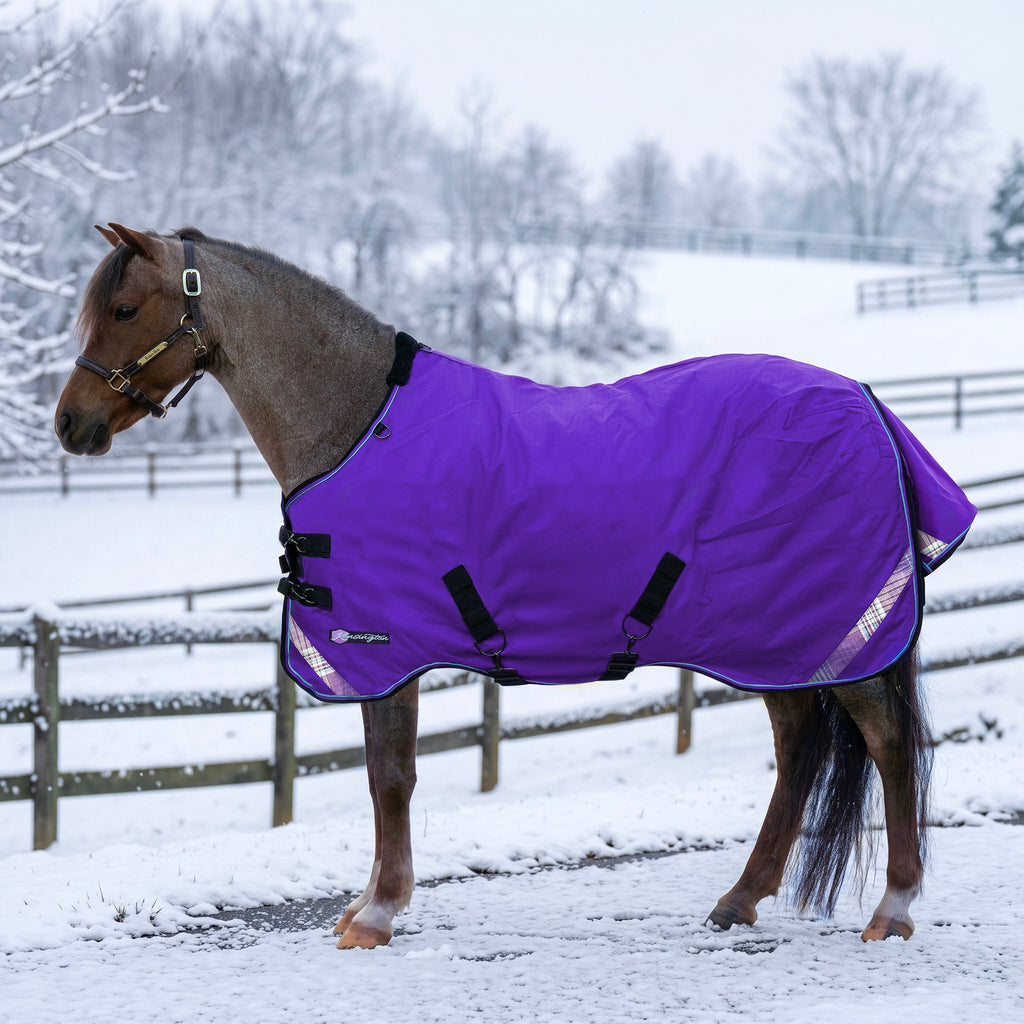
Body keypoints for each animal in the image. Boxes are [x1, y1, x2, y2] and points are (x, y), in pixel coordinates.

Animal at [55, 223, 973, 950]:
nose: (71, 424)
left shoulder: (384, 649)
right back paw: (739, 900)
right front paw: (366, 902)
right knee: (797, 750)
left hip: (832, 633)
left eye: (126, 309)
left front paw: (377, 915)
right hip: (781, 640)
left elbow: (390, 776)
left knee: (891, 745)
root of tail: (867, 403)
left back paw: (893, 909)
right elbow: (382, 774)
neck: (356, 424)